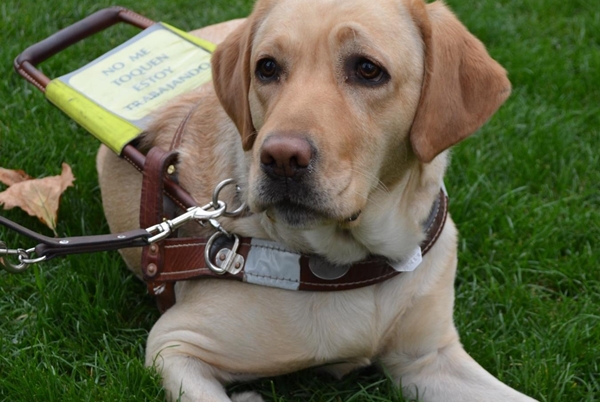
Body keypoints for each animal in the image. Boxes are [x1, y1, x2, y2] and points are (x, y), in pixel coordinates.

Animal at [96, 0, 536, 400]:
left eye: (367, 69)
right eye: (267, 68)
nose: (281, 159)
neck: (352, 263)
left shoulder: (429, 358)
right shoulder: (174, 344)